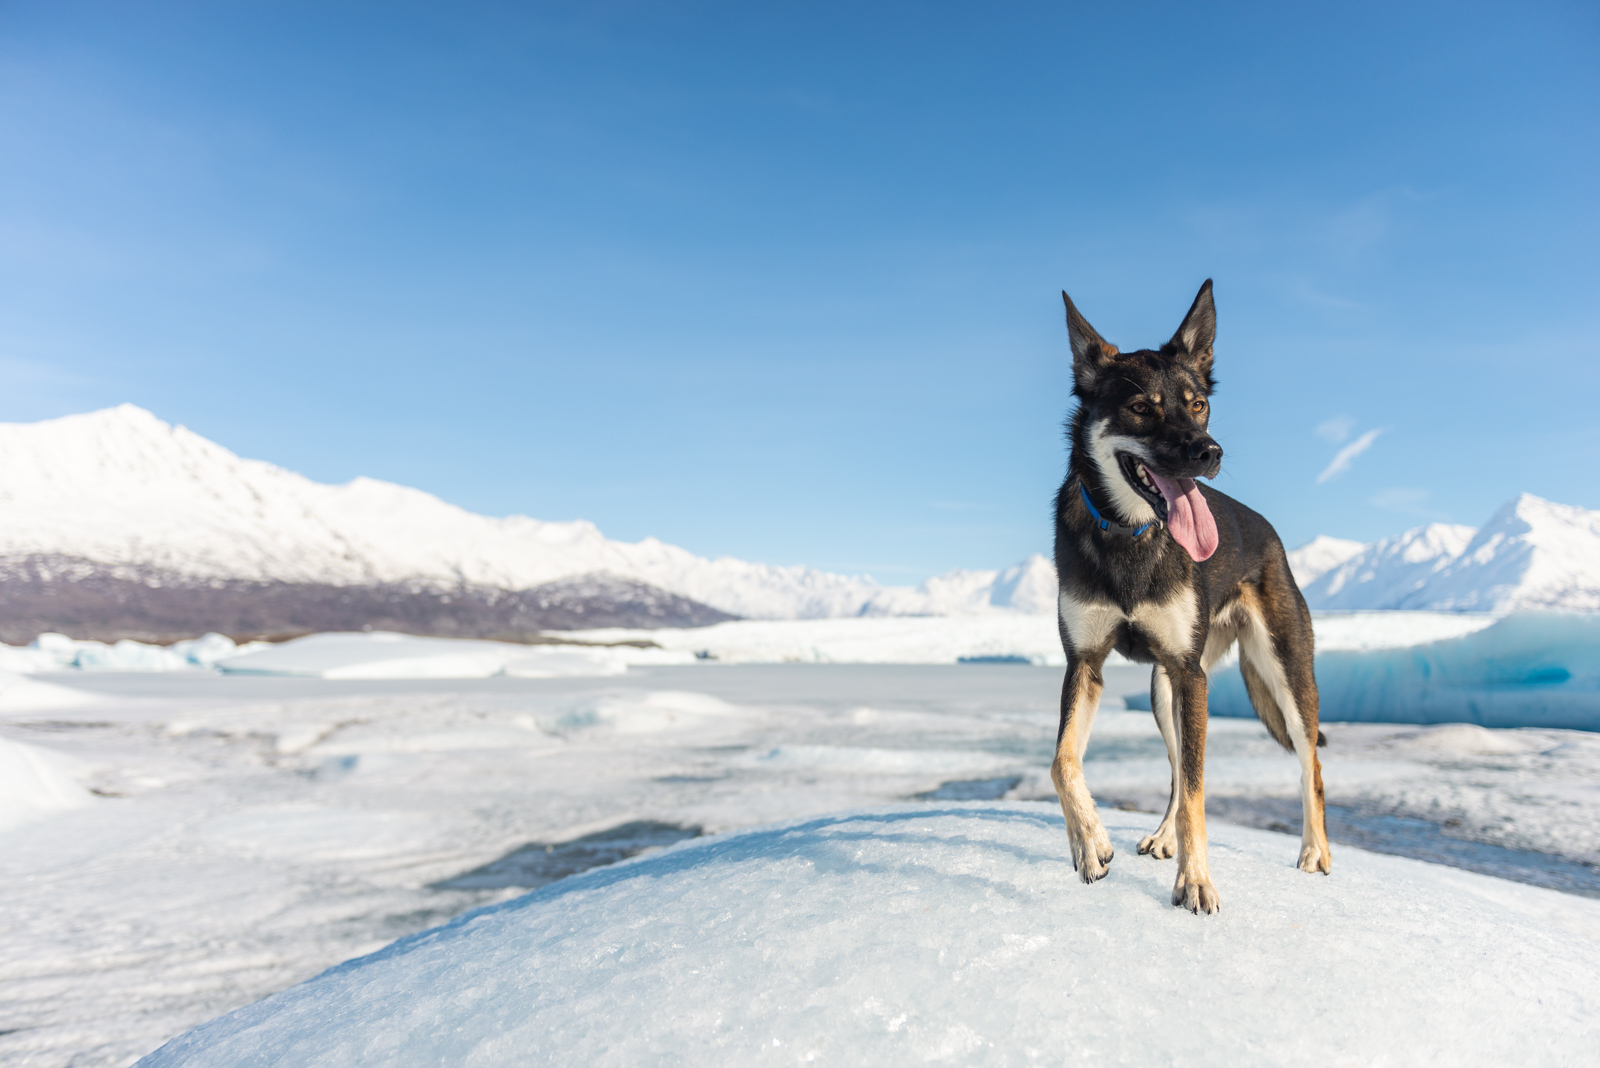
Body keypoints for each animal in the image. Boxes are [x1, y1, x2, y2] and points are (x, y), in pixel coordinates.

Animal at [1049, 279, 1324, 914]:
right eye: (1141, 407)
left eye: (1197, 403)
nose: (1209, 452)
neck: (1131, 533)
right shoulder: (1085, 664)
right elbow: (1063, 760)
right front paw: (1089, 841)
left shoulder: (1189, 672)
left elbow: (1200, 790)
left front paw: (1197, 882)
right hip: (1163, 688)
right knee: (1177, 770)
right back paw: (1162, 837)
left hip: (1283, 672)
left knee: (1311, 766)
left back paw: (1315, 852)